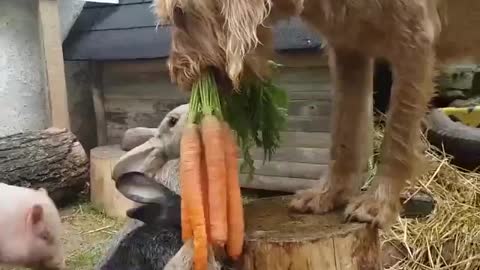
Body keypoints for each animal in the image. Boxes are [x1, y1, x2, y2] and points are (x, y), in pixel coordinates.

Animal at [153, 0, 480, 229]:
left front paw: (378, 203)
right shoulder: (349, 48)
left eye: (181, 13)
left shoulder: (414, 43)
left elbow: (396, 138)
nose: (176, 74)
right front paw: (328, 195)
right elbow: (343, 135)